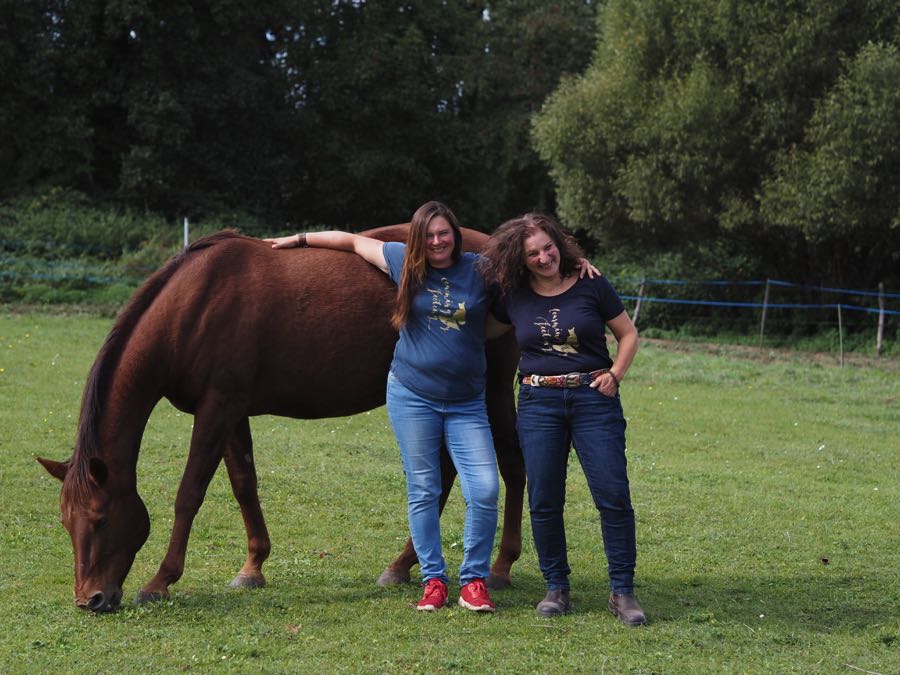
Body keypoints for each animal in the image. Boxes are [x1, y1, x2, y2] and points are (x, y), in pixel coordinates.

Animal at [38, 226, 524, 612]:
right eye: (65, 521)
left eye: (101, 519)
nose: (90, 598)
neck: (193, 307)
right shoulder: (229, 411)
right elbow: (243, 484)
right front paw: (252, 567)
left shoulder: (217, 409)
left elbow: (189, 493)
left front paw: (160, 581)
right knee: (443, 475)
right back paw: (401, 566)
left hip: (492, 392)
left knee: (513, 467)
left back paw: (500, 566)